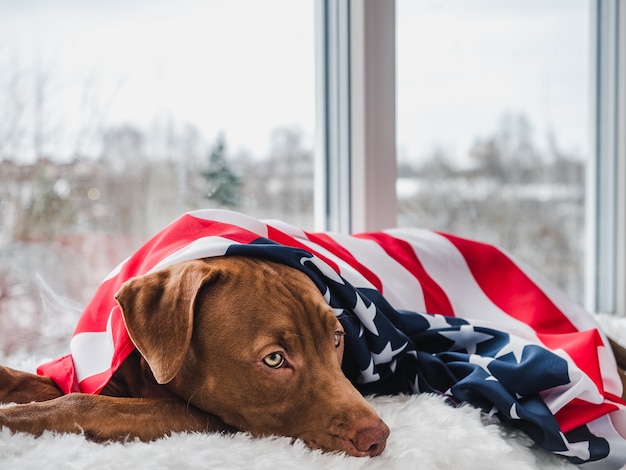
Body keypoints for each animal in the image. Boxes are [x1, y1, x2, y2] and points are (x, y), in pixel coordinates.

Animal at [0, 258, 388, 458]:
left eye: (336, 338)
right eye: (275, 359)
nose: (378, 437)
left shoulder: (200, 416)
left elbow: (86, 404)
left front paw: (13, 418)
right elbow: (37, 382)